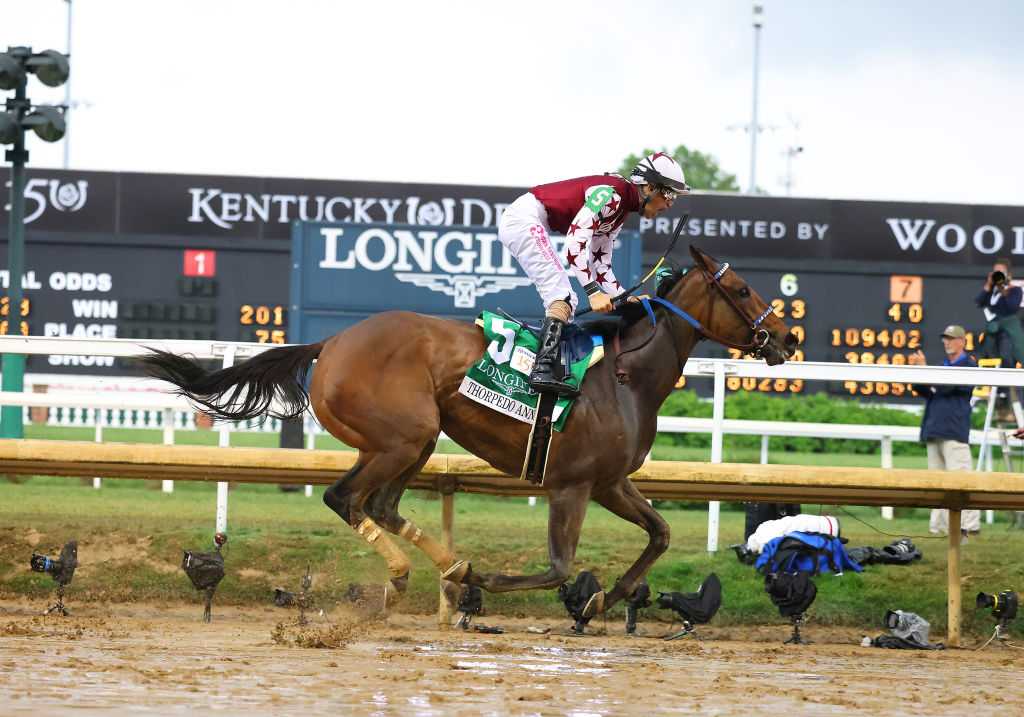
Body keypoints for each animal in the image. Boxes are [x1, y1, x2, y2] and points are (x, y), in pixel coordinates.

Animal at [140, 244, 794, 614]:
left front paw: (611, 594)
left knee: (379, 504)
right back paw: (415, 575)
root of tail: (332, 342)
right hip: (403, 435)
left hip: (415, 440)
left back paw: (442, 568)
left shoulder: (609, 482)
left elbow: (659, 533)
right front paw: (491, 580)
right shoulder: (573, 485)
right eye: (740, 289)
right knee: (345, 498)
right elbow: (559, 566)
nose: (786, 339)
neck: (625, 375)